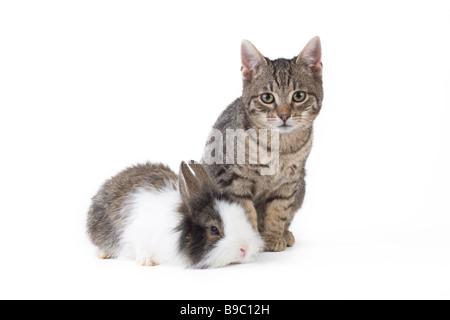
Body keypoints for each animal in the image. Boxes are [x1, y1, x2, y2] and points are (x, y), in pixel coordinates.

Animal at [201, 37, 324, 251]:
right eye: (267, 97)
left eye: (299, 96)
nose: (284, 115)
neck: (279, 147)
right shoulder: (234, 179)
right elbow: (245, 211)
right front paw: (253, 241)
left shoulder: (289, 182)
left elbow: (279, 210)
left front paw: (273, 236)